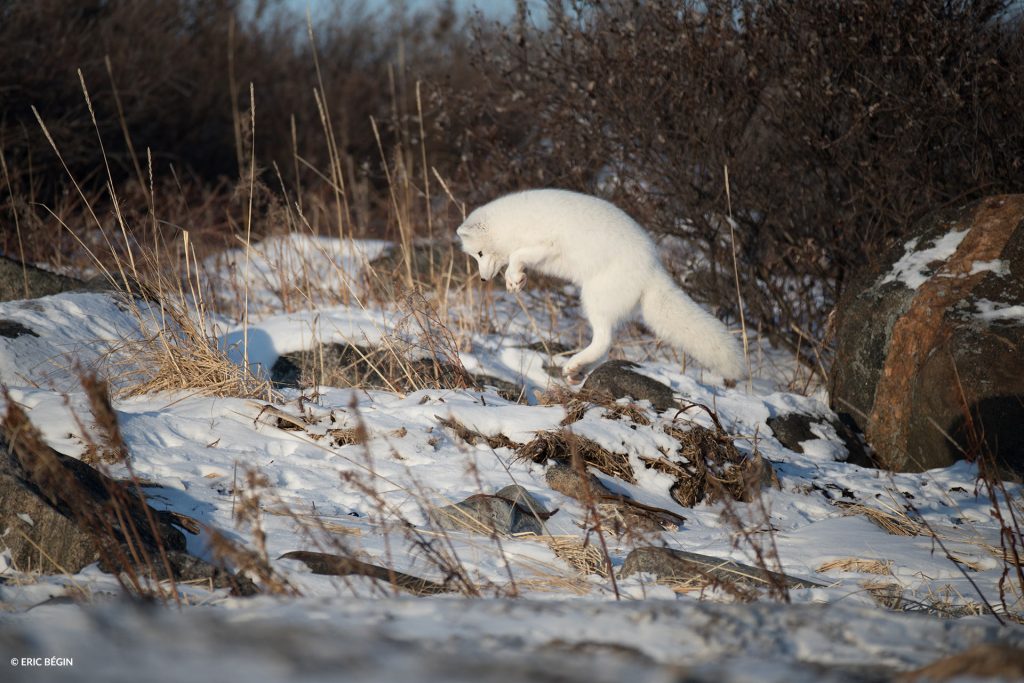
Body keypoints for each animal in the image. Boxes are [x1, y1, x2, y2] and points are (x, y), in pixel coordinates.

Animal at [456, 188, 745, 382]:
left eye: (479, 254)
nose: (483, 279)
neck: (513, 224)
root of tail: (653, 270)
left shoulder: (547, 244)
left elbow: (517, 255)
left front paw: (515, 277)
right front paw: (515, 281)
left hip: (593, 297)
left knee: (604, 340)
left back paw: (574, 365)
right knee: (606, 345)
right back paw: (578, 371)